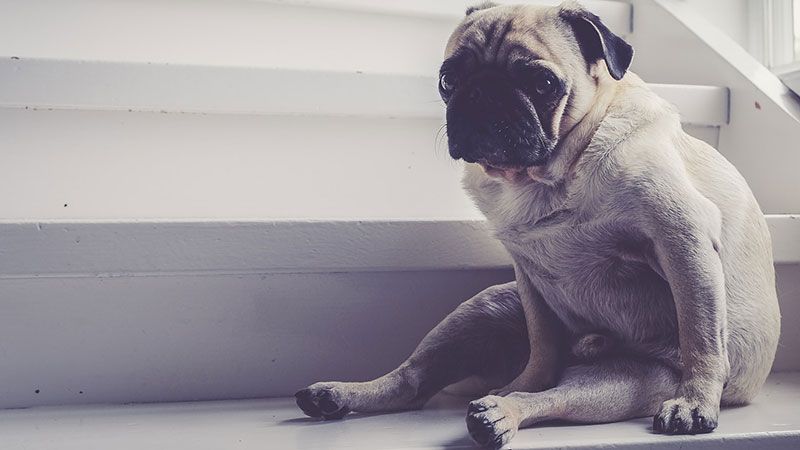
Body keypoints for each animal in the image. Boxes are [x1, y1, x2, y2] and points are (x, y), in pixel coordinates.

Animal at [296, 1, 780, 448]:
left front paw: (695, 403)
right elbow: (543, 344)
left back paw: (501, 414)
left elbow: (700, 332)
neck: (547, 176)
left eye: (542, 83)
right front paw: (526, 381)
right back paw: (344, 395)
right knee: (413, 382)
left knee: (558, 397)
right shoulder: (528, 276)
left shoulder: (682, 237)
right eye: (448, 80)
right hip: (484, 306)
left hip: (627, 383)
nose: (483, 92)